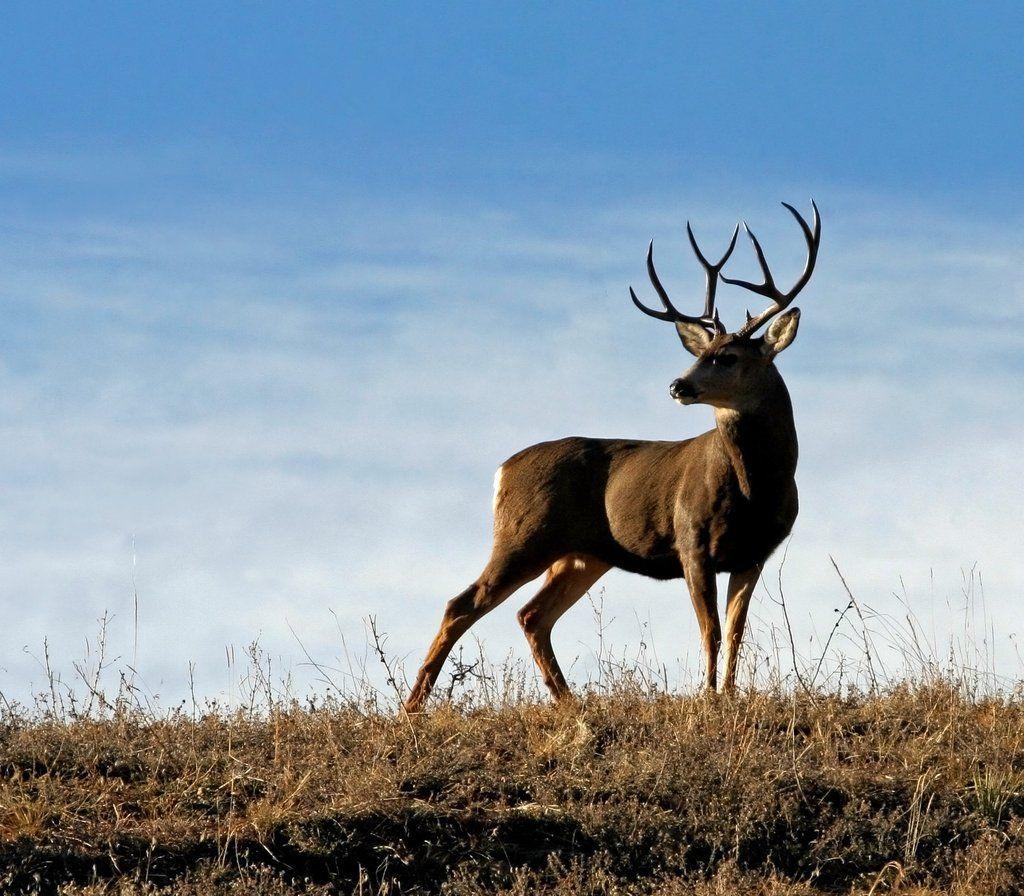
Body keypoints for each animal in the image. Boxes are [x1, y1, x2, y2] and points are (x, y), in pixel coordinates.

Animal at [404, 200, 821, 712]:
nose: (678, 385)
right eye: (702, 351)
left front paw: (727, 695)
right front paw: (707, 698)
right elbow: (711, 630)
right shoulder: (691, 541)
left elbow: (737, 632)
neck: (754, 490)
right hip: (524, 536)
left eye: (729, 357)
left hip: (583, 554)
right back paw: (412, 707)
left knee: (532, 615)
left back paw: (568, 701)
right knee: (462, 604)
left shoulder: (754, 553)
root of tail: (502, 471)